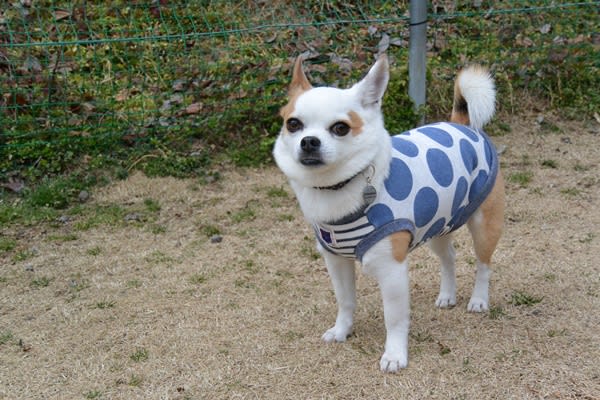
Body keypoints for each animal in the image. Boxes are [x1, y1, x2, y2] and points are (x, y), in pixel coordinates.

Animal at [274, 54, 504, 372]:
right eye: (293, 124)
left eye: (340, 128)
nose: (309, 141)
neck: (337, 187)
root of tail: (463, 124)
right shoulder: (336, 261)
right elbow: (345, 301)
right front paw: (342, 330)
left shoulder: (391, 270)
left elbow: (393, 319)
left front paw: (395, 355)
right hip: (438, 224)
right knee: (450, 257)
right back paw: (447, 295)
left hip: (483, 224)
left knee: (483, 264)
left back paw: (479, 300)